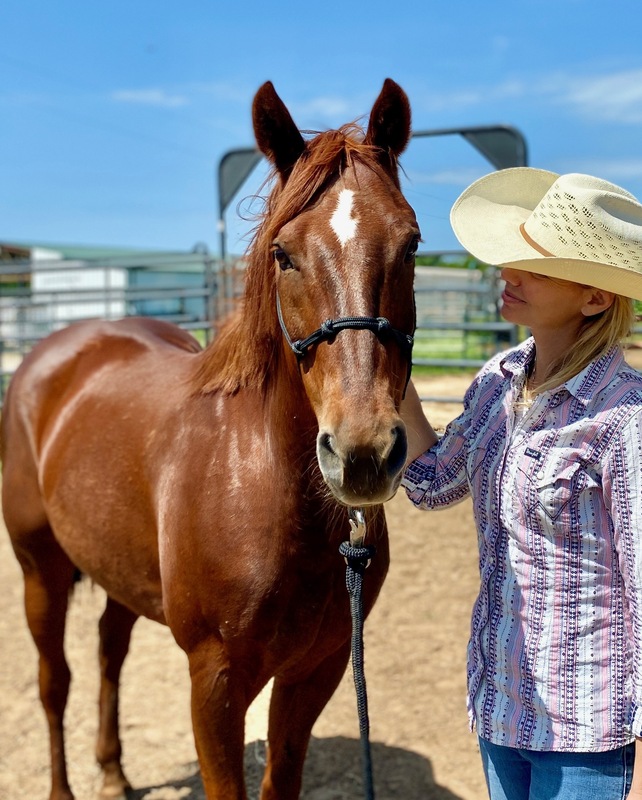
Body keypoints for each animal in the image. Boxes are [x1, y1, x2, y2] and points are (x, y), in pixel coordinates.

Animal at [0, 79, 418, 800]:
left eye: (412, 244)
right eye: (283, 253)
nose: (362, 453)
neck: (266, 491)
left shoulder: (316, 671)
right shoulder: (215, 684)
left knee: (109, 650)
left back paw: (113, 771)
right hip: (39, 570)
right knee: (55, 682)